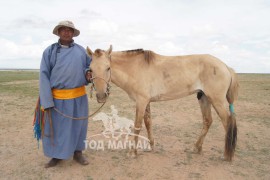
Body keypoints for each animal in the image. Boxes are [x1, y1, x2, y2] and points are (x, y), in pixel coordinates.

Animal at [86, 45, 238, 160]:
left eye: (108, 68)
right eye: (91, 69)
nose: (101, 95)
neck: (135, 68)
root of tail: (226, 66)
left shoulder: (141, 101)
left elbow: (137, 126)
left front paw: (132, 152)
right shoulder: (146, 102)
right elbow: (148, 123)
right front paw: (150, 146)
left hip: (216, 100)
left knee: (227, 121)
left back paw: (226, 155)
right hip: (204, 98)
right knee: (207, 121)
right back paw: (196, 148)